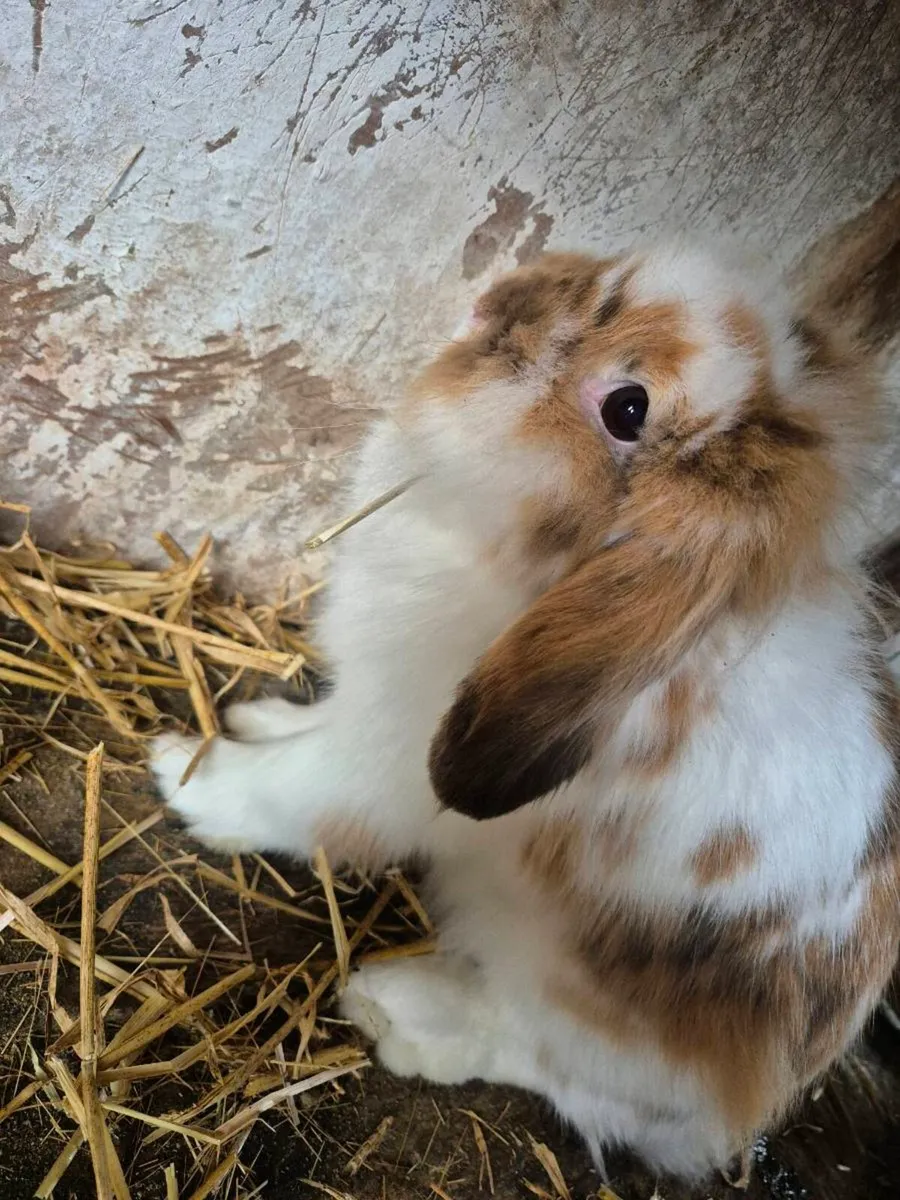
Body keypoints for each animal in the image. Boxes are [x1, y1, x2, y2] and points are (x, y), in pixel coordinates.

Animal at [151, 244, 900, 1181]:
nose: (495, 303)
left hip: (570, 999)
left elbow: (289, 795)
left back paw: (400, 1010)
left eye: (627, 408)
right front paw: (257, 723)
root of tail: (738, 1113)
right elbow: (301, 737)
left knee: (545, 1062)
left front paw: (185, 773)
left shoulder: (384, 760)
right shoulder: (366, 697)